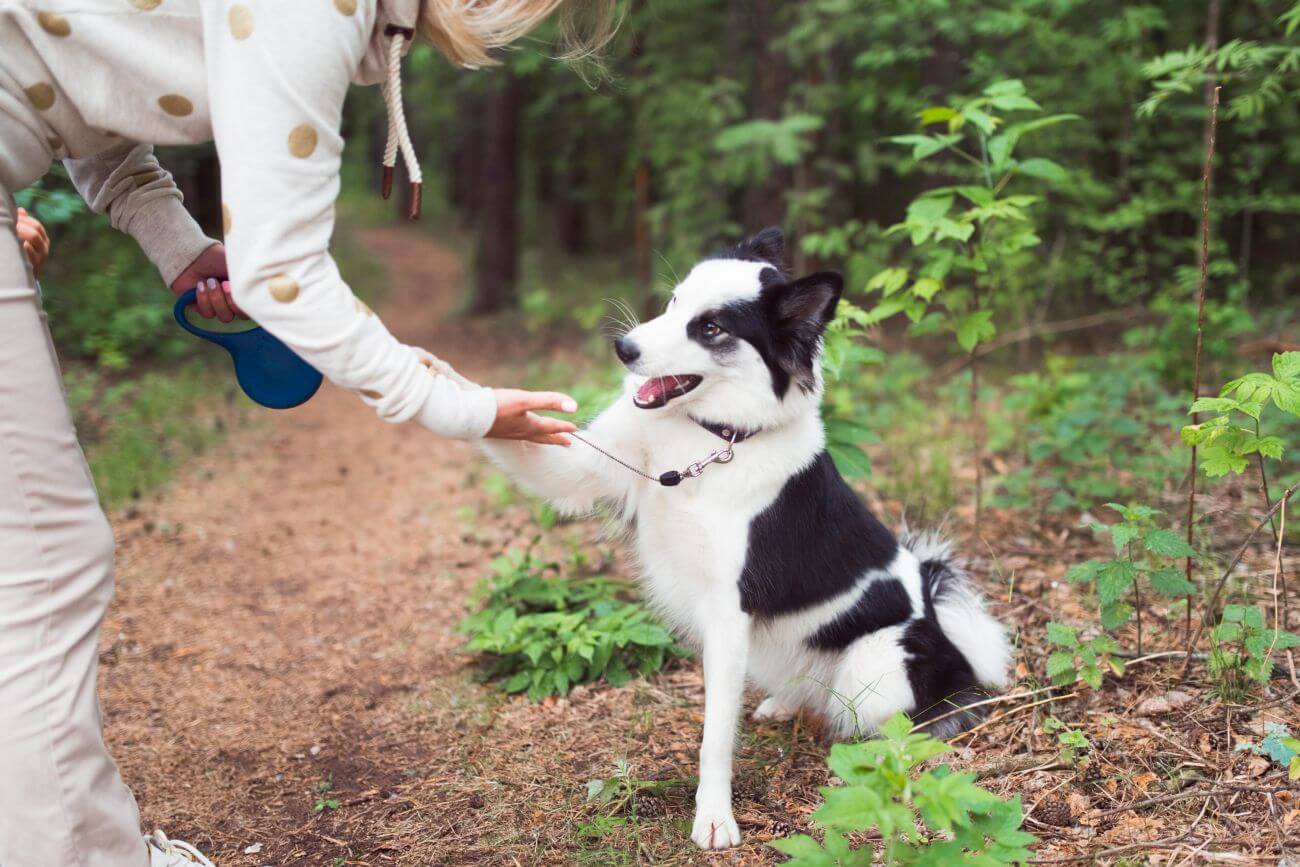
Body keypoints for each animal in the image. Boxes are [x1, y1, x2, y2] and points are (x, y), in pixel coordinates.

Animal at [483, 227, 1008, 852]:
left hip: (875, 667)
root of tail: (942, 620)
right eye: (675, 303)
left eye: (712, 328)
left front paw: (713, 817)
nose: (623, 348)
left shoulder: (728, 612)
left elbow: (715, 737)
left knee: (898, 727)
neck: (715, 438)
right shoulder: (583, 473)